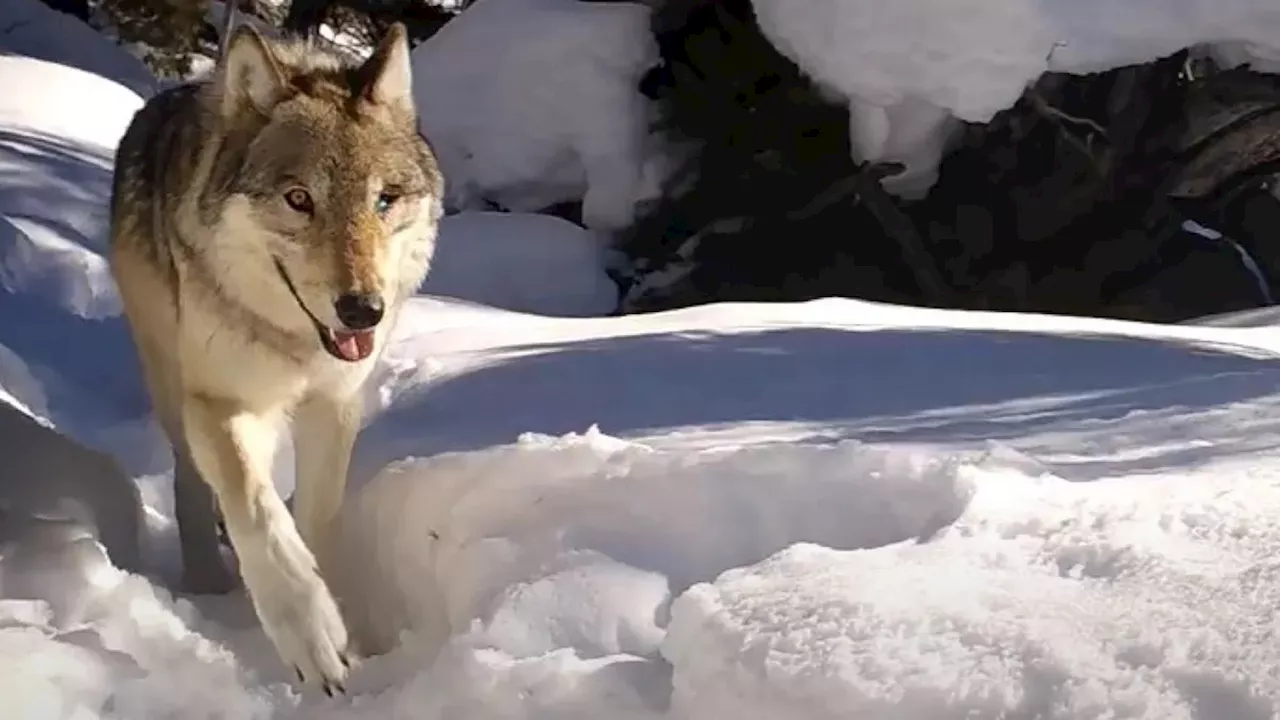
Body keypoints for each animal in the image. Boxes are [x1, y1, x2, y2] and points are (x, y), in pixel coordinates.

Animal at [107, 22, 445, 691]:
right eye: (298, 199)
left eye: (385, 199)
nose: (363, 311)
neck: (296, 344)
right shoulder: (219, 400)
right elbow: (259, 513)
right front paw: (311, 637)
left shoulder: (334, 405)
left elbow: (315, 518)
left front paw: (345, 631)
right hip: (172, 380)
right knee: (194, 479)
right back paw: (208, 579)